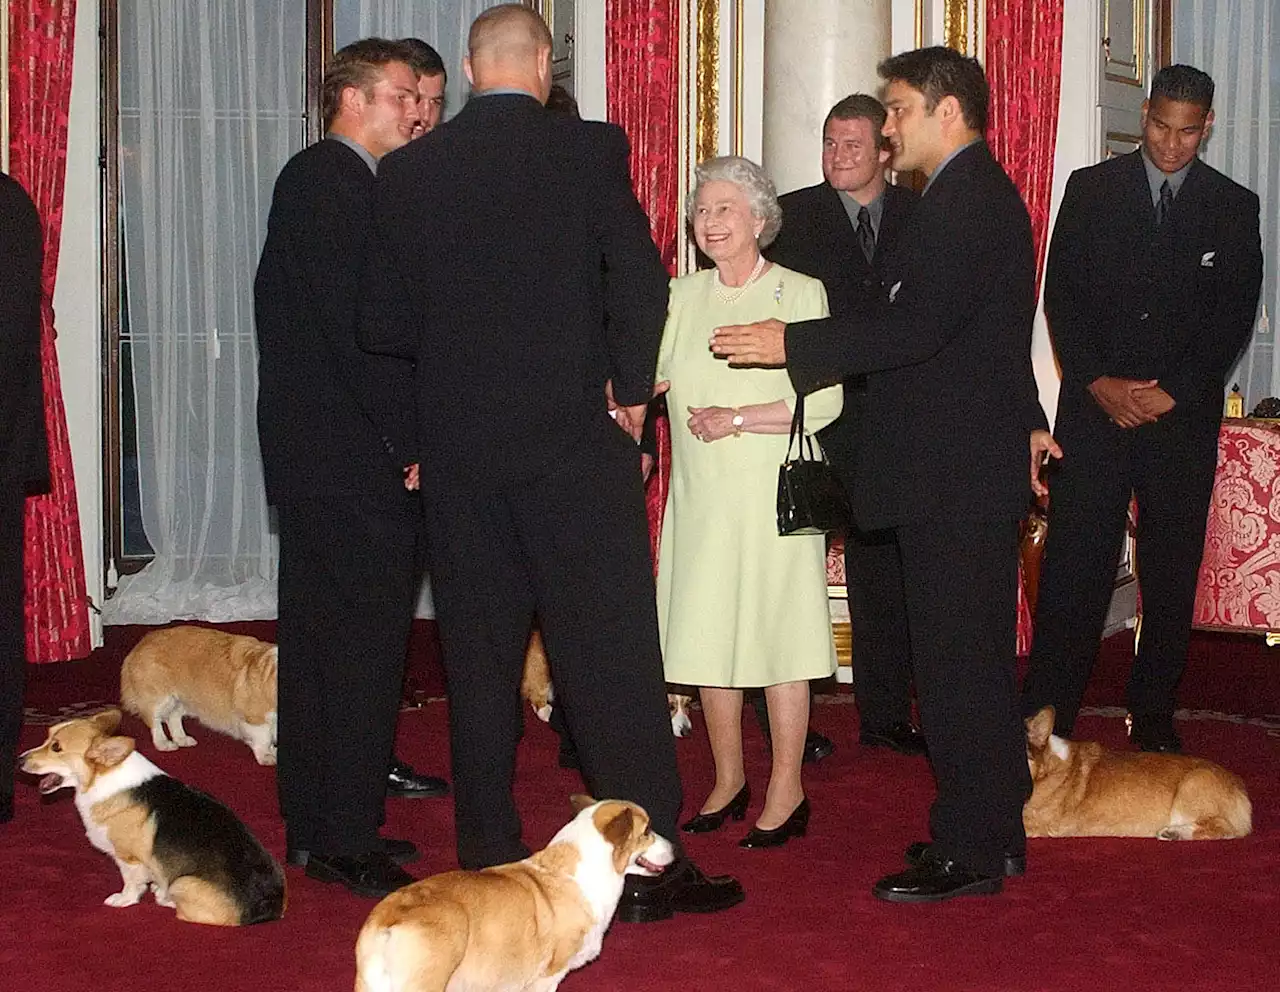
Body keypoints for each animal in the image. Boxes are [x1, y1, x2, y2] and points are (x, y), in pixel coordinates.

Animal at [20, 711, 285, 926]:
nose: (20, 759)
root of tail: (268, 909)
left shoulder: (128, 858)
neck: (101, 779)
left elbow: (131, 883)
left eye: (56, 748)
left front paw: (124, 899)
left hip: (182, 882)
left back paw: (164, 897)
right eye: (47, 737)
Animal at [119, 629, 277, 768]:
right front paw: (267, 756)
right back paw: (164, 743)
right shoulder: (255, 718)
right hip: (160, 699)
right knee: (155, 722)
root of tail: (140, 644)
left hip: (179, 700)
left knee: (173, 718)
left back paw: (182, 739)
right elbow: (264, 738)